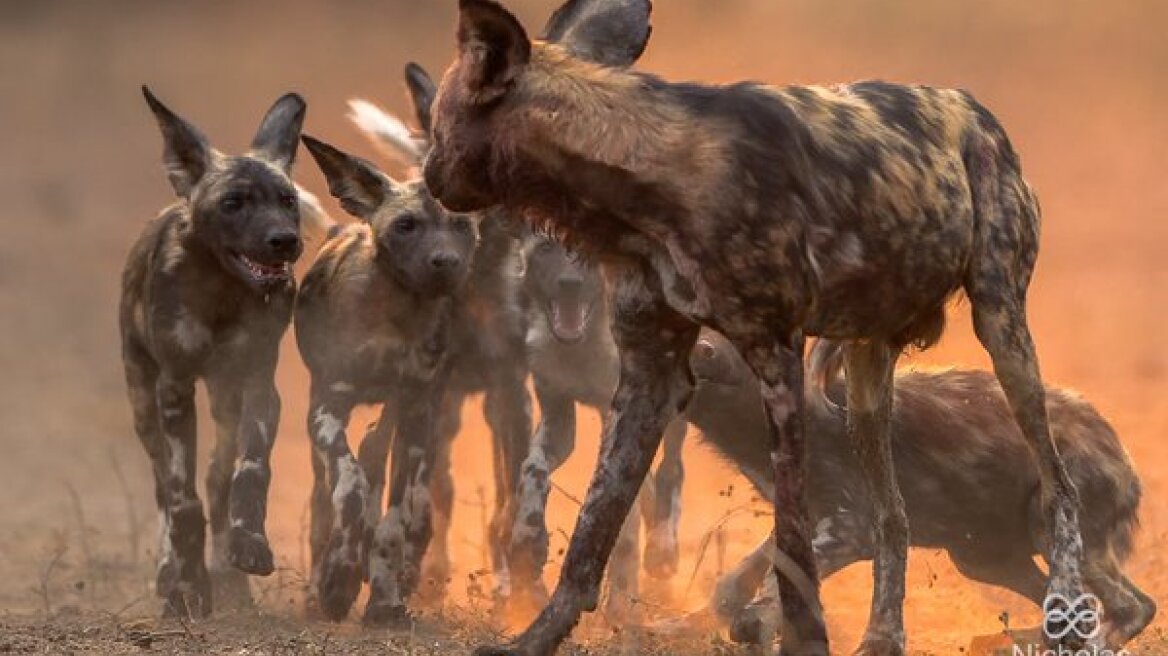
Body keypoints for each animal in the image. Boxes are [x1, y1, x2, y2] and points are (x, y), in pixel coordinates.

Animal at [122, 85, 306, 611]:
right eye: (233, 202)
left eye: (288, 200)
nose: (285, 241)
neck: (222, 290)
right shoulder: (175, 388)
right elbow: (182, 500)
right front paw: (188, 587)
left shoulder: (259, 384)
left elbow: (250, 472)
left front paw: (249, 546)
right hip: (144, 405)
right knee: (164, 487)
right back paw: (172, 575)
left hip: (225, 400)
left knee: (217, 477)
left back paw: (230, 580)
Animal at [294, 63, 532, 625]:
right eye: (406, 226)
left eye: (460, 226)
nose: (446, 262)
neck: (394, 319)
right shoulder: (328, 407)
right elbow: (351, 490)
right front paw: (339, 580)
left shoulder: (419, 412)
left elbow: (395, 519)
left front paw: (383, 600)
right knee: (328, 498)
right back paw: (321, 585)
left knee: (377, 456)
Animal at [516, 231, 686, 616]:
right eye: (546, 248)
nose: (570, 284)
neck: (579, 352)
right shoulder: (558, 419)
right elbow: (532, 468)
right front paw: (528, 537)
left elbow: (623, 522)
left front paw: (619, 603)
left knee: (671, 470)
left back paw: (662, 548)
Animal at [686, 331, 1153, 648]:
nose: (705, 350)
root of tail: (1121, 452)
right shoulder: (803, 518)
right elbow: (737, 582)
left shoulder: (852, 529)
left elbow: (773, 586)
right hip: (984, 560)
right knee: (1086, 609)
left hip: (1049, 527)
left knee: (1125, 607)